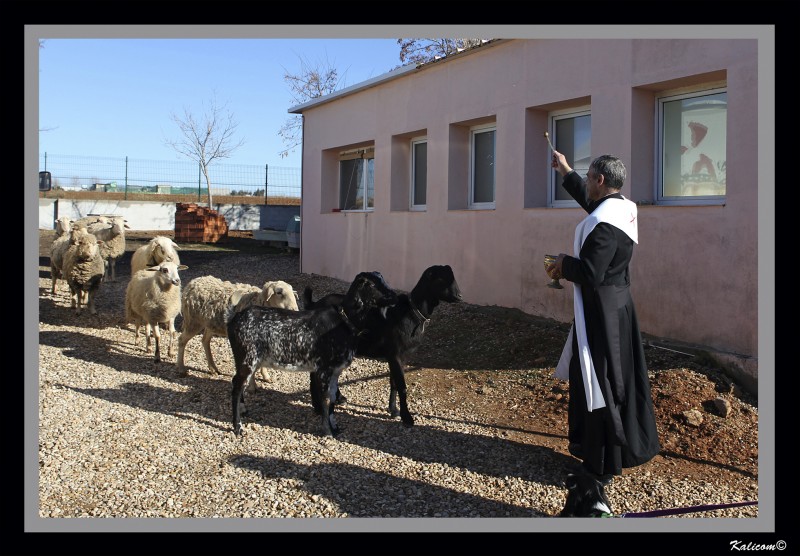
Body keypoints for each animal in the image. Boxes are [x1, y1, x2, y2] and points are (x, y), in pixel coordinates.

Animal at [225, 272, 396, 436]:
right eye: (371, 284)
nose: (393, 295)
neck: (344, 320)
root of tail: (234, 318)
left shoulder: (335, 371)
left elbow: (332, 398)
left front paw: (335, 428)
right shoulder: (324, 370)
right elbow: (325, 399)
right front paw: (327, 431)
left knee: (236, 382)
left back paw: (243, 411)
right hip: (248, 359)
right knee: (237, 387)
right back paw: (238, 427)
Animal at [304, 264, 462, 426]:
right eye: (441, 279)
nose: (459, 296)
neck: (411, 313)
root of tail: (313, 304)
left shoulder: (400, 356)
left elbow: (394, 383)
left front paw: (394, 410)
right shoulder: (395, 354)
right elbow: (402, 386)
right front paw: (407, 417)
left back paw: (339, 398)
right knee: (314, 375)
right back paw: (318, 407)